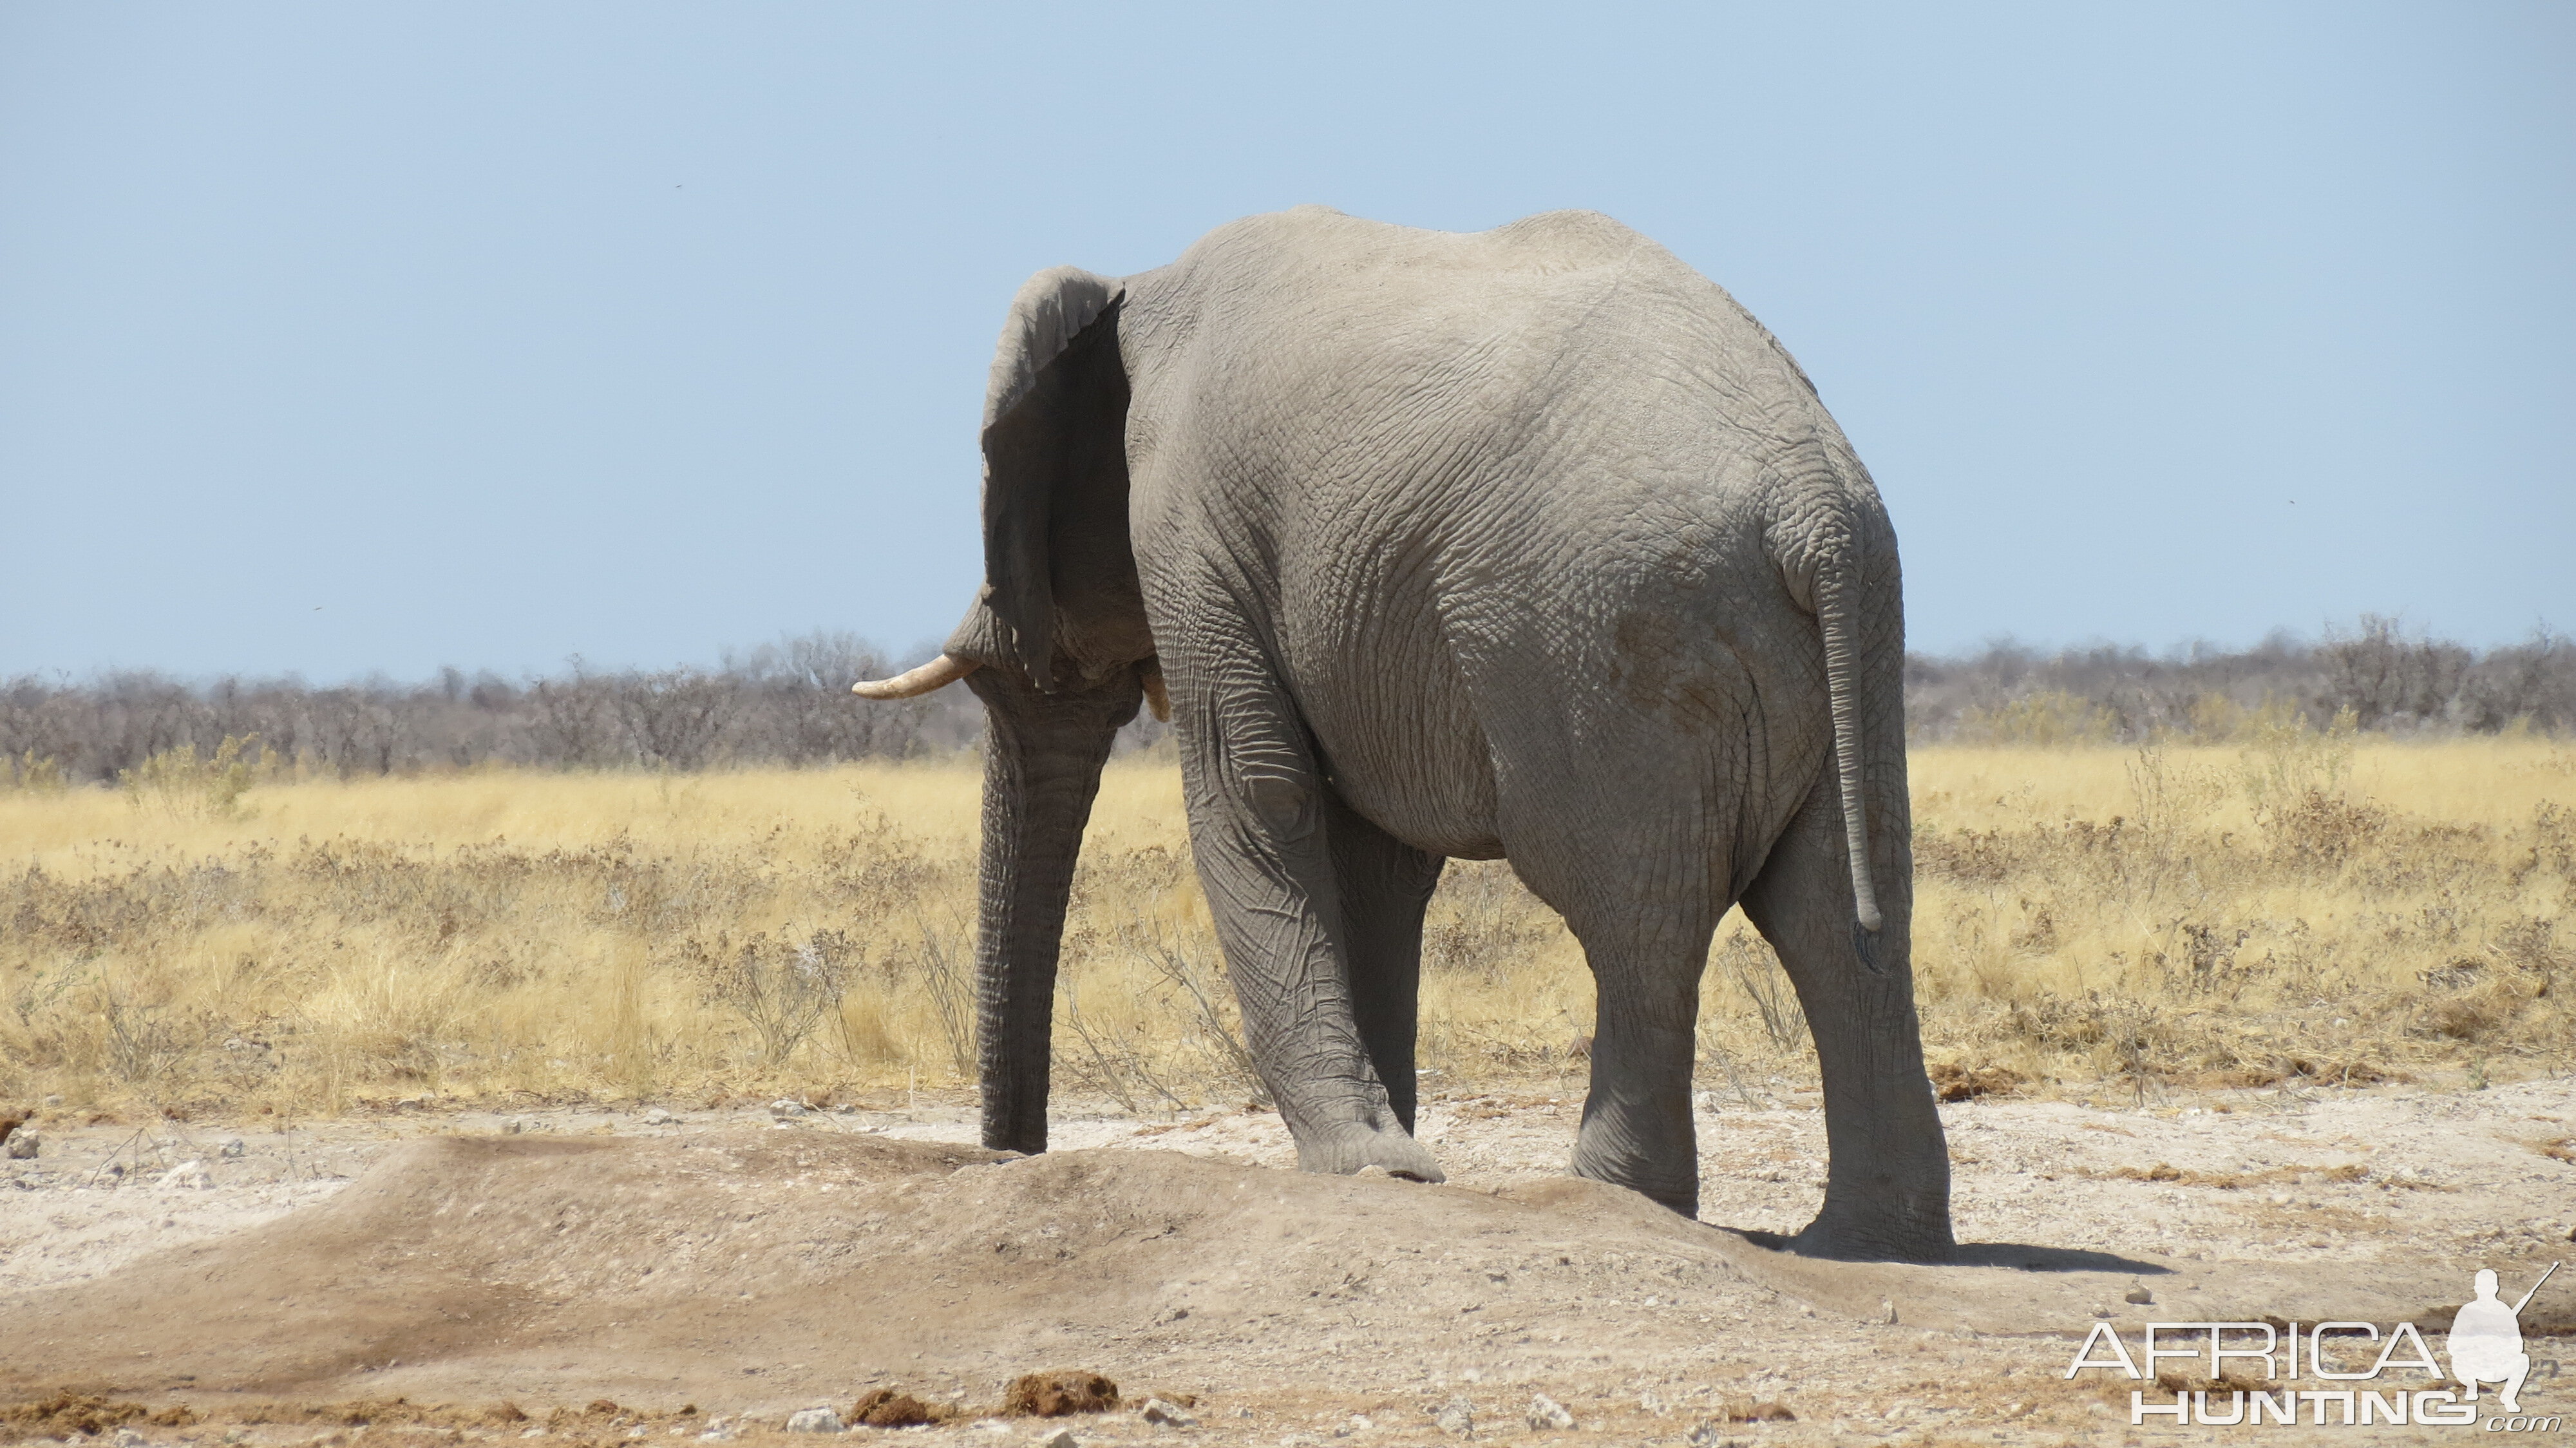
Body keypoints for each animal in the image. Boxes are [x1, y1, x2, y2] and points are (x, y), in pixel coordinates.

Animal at [860, 206, 1947, 1262]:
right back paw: (1870, 1242)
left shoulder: (1193, 533)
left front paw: (1372, 1167)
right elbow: (1373, 861)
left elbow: (1254, 796)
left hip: (1606, 640)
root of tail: (1813, 512)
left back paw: (1614, 1198)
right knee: (1838, 915)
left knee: (1638, 917)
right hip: (1861, 636)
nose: (1014, 1156)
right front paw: (1396, 1157)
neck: (1137, 286)